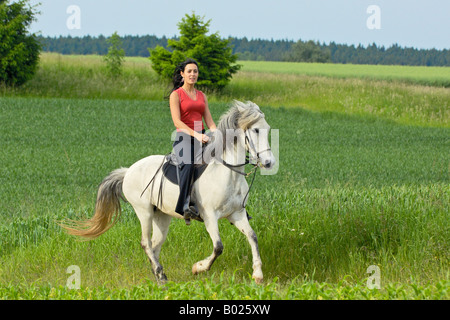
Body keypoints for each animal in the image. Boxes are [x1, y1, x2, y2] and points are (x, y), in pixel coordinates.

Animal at [61, 100, 276, 284]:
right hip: (144, 211)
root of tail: (128, 171)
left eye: (268, 129)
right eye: (256, 130)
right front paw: (198, 267)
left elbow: (252, 236)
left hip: (162, 216)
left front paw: (258, 274)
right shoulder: (210, 216)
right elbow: (218, 247)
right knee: (146, 243)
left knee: (155, 246)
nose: (269, 163)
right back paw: (161, 275)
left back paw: (159, 275)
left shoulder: (236, 213)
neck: (227, 173)